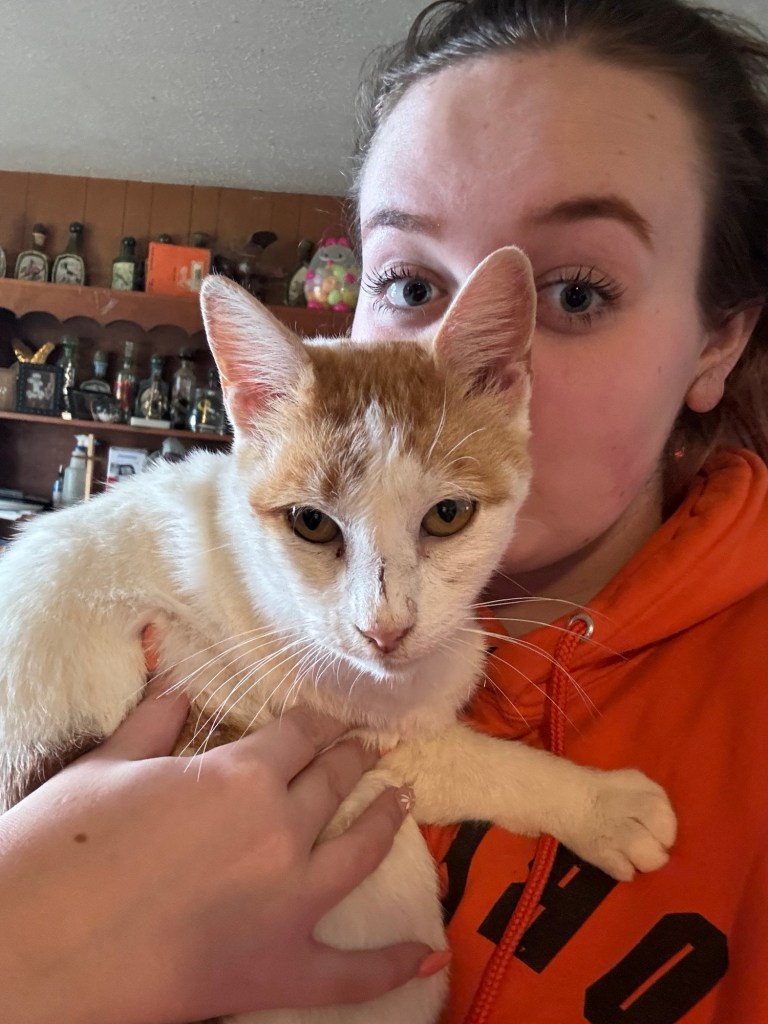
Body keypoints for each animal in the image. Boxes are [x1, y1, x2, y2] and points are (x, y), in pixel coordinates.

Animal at [0, 247, 676, 1024]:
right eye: (312, 524)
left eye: (448, 515)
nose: (384, 629)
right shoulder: (333, 727)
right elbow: (463, 762)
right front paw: (602, 805)